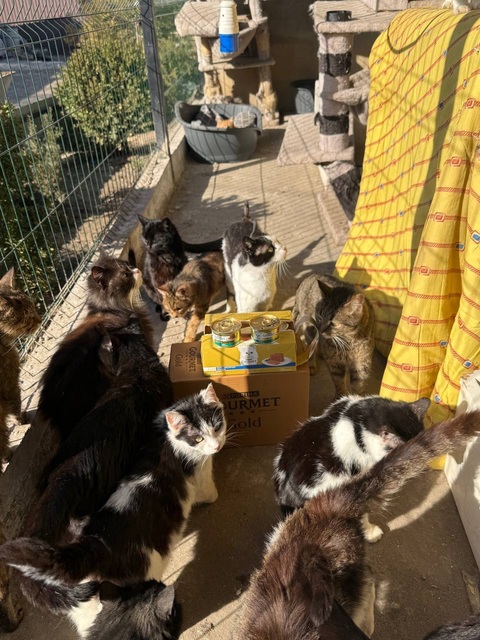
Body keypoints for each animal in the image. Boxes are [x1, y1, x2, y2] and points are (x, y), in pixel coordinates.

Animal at [0, 384, 226, 615]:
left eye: (217, 427)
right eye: (198, 438)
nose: (217, 446)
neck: (168, 436)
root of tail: (96, 542)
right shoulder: (198, 471)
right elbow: (207, 489)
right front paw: (214, 496)